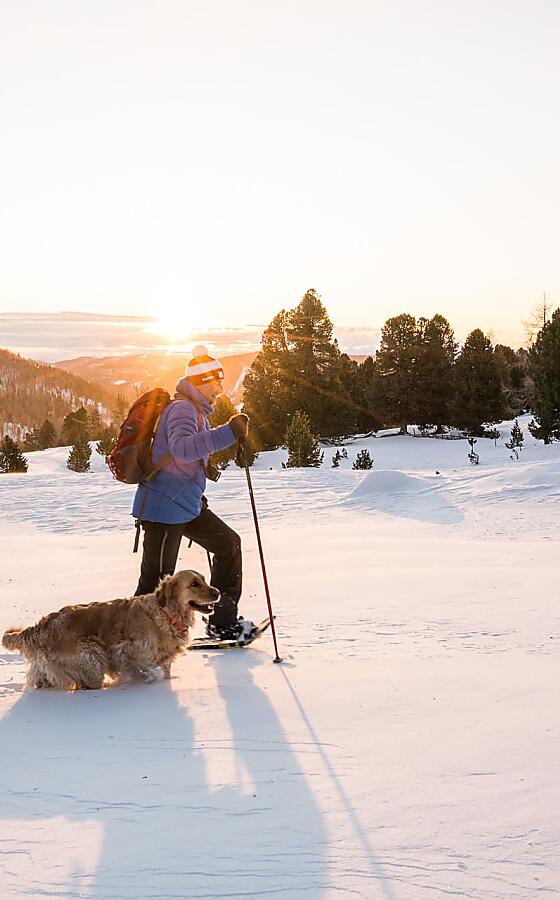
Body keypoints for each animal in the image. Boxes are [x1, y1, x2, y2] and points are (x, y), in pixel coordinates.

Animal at [1, 568, 218, 688]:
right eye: (194, 584)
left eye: (204, 579)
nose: (217, 592)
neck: (165, 613)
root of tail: (41, 627)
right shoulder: (132, 652)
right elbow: (143, 669)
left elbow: (165, 672)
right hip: (92, 656)